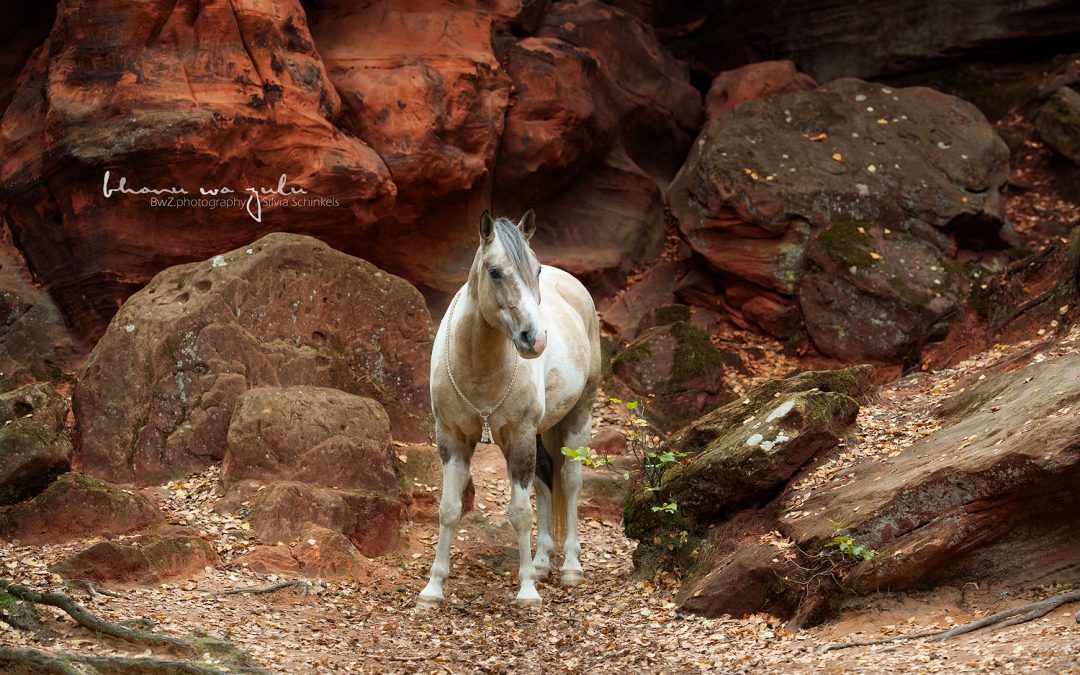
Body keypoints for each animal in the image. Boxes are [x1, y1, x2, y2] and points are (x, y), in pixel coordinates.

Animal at [416, 209, 600, 604]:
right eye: (495, 271)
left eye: (537, 270)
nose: (536, 339)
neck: (478, 368)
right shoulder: (451, 440)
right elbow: (449, 510)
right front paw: (433, 589)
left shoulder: (518, 439)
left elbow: (519, 513)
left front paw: (527, 591)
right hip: (542, 432)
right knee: (546, 479)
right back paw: (543, 561)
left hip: (578, 416)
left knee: (570, 482)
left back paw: (570, 568)